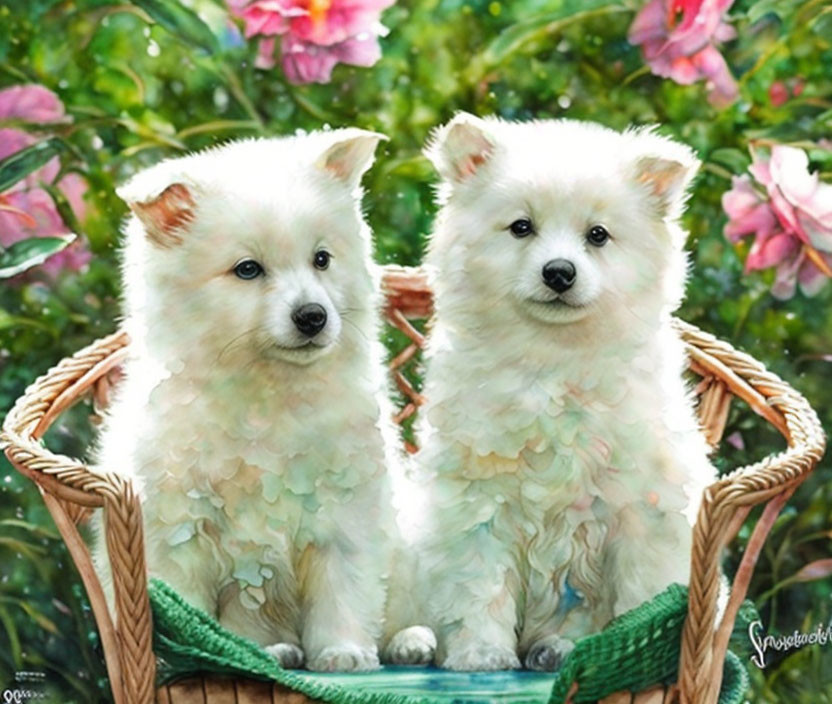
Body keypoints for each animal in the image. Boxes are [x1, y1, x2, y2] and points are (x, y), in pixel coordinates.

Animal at [92, 129, 398, 672]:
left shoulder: (345, 514)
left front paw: (343, 652)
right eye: (248, 270)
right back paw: (272, 650)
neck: (267, 391)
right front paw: (202, 657)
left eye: (322, 259)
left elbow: (342, 589)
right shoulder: (179, 528)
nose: (313, 316)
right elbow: (191, 607)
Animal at [420, 114, 720, 672]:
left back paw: (558, 649)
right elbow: (480, 585)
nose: (559, 272)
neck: (553, 361)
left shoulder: (641, 510)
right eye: (521, 227)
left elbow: (639, 596)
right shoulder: (477, 504)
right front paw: (481, 655)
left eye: (597, 235)